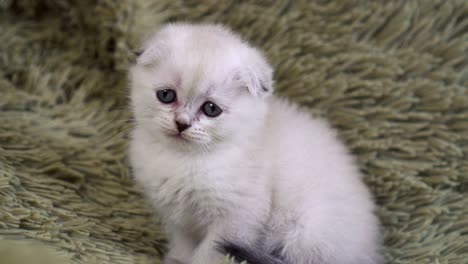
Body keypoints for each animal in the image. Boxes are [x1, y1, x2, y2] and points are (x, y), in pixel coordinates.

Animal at [127, 23, 380, 264]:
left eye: (211, 109)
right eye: (166, 95)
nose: (181, 124)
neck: (182, 160)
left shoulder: (236, 220)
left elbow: (207, 255)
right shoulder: (178, 218)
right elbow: (183, 246)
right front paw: (177, 260)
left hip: (305, 234)